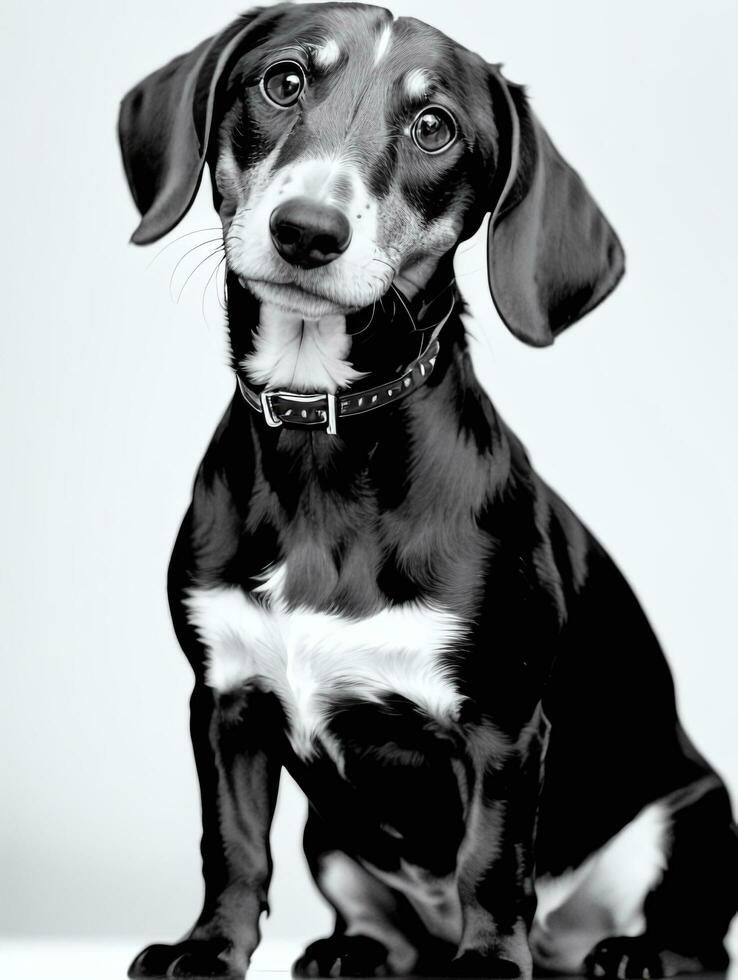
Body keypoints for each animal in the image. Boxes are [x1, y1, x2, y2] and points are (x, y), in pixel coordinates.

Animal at [118, 1, 736, 980]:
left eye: (434, 127)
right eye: (283, 80)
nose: (306, 230)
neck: (326, 449)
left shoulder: (501, 726)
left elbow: (491, 862)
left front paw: (487, 962)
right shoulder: (224, 702)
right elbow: (233, 847)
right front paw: (207, 950)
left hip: (694, 817)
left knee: (693, 938)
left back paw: (633, 955)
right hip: (329, 838)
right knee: (379, 918)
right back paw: (354, 951)